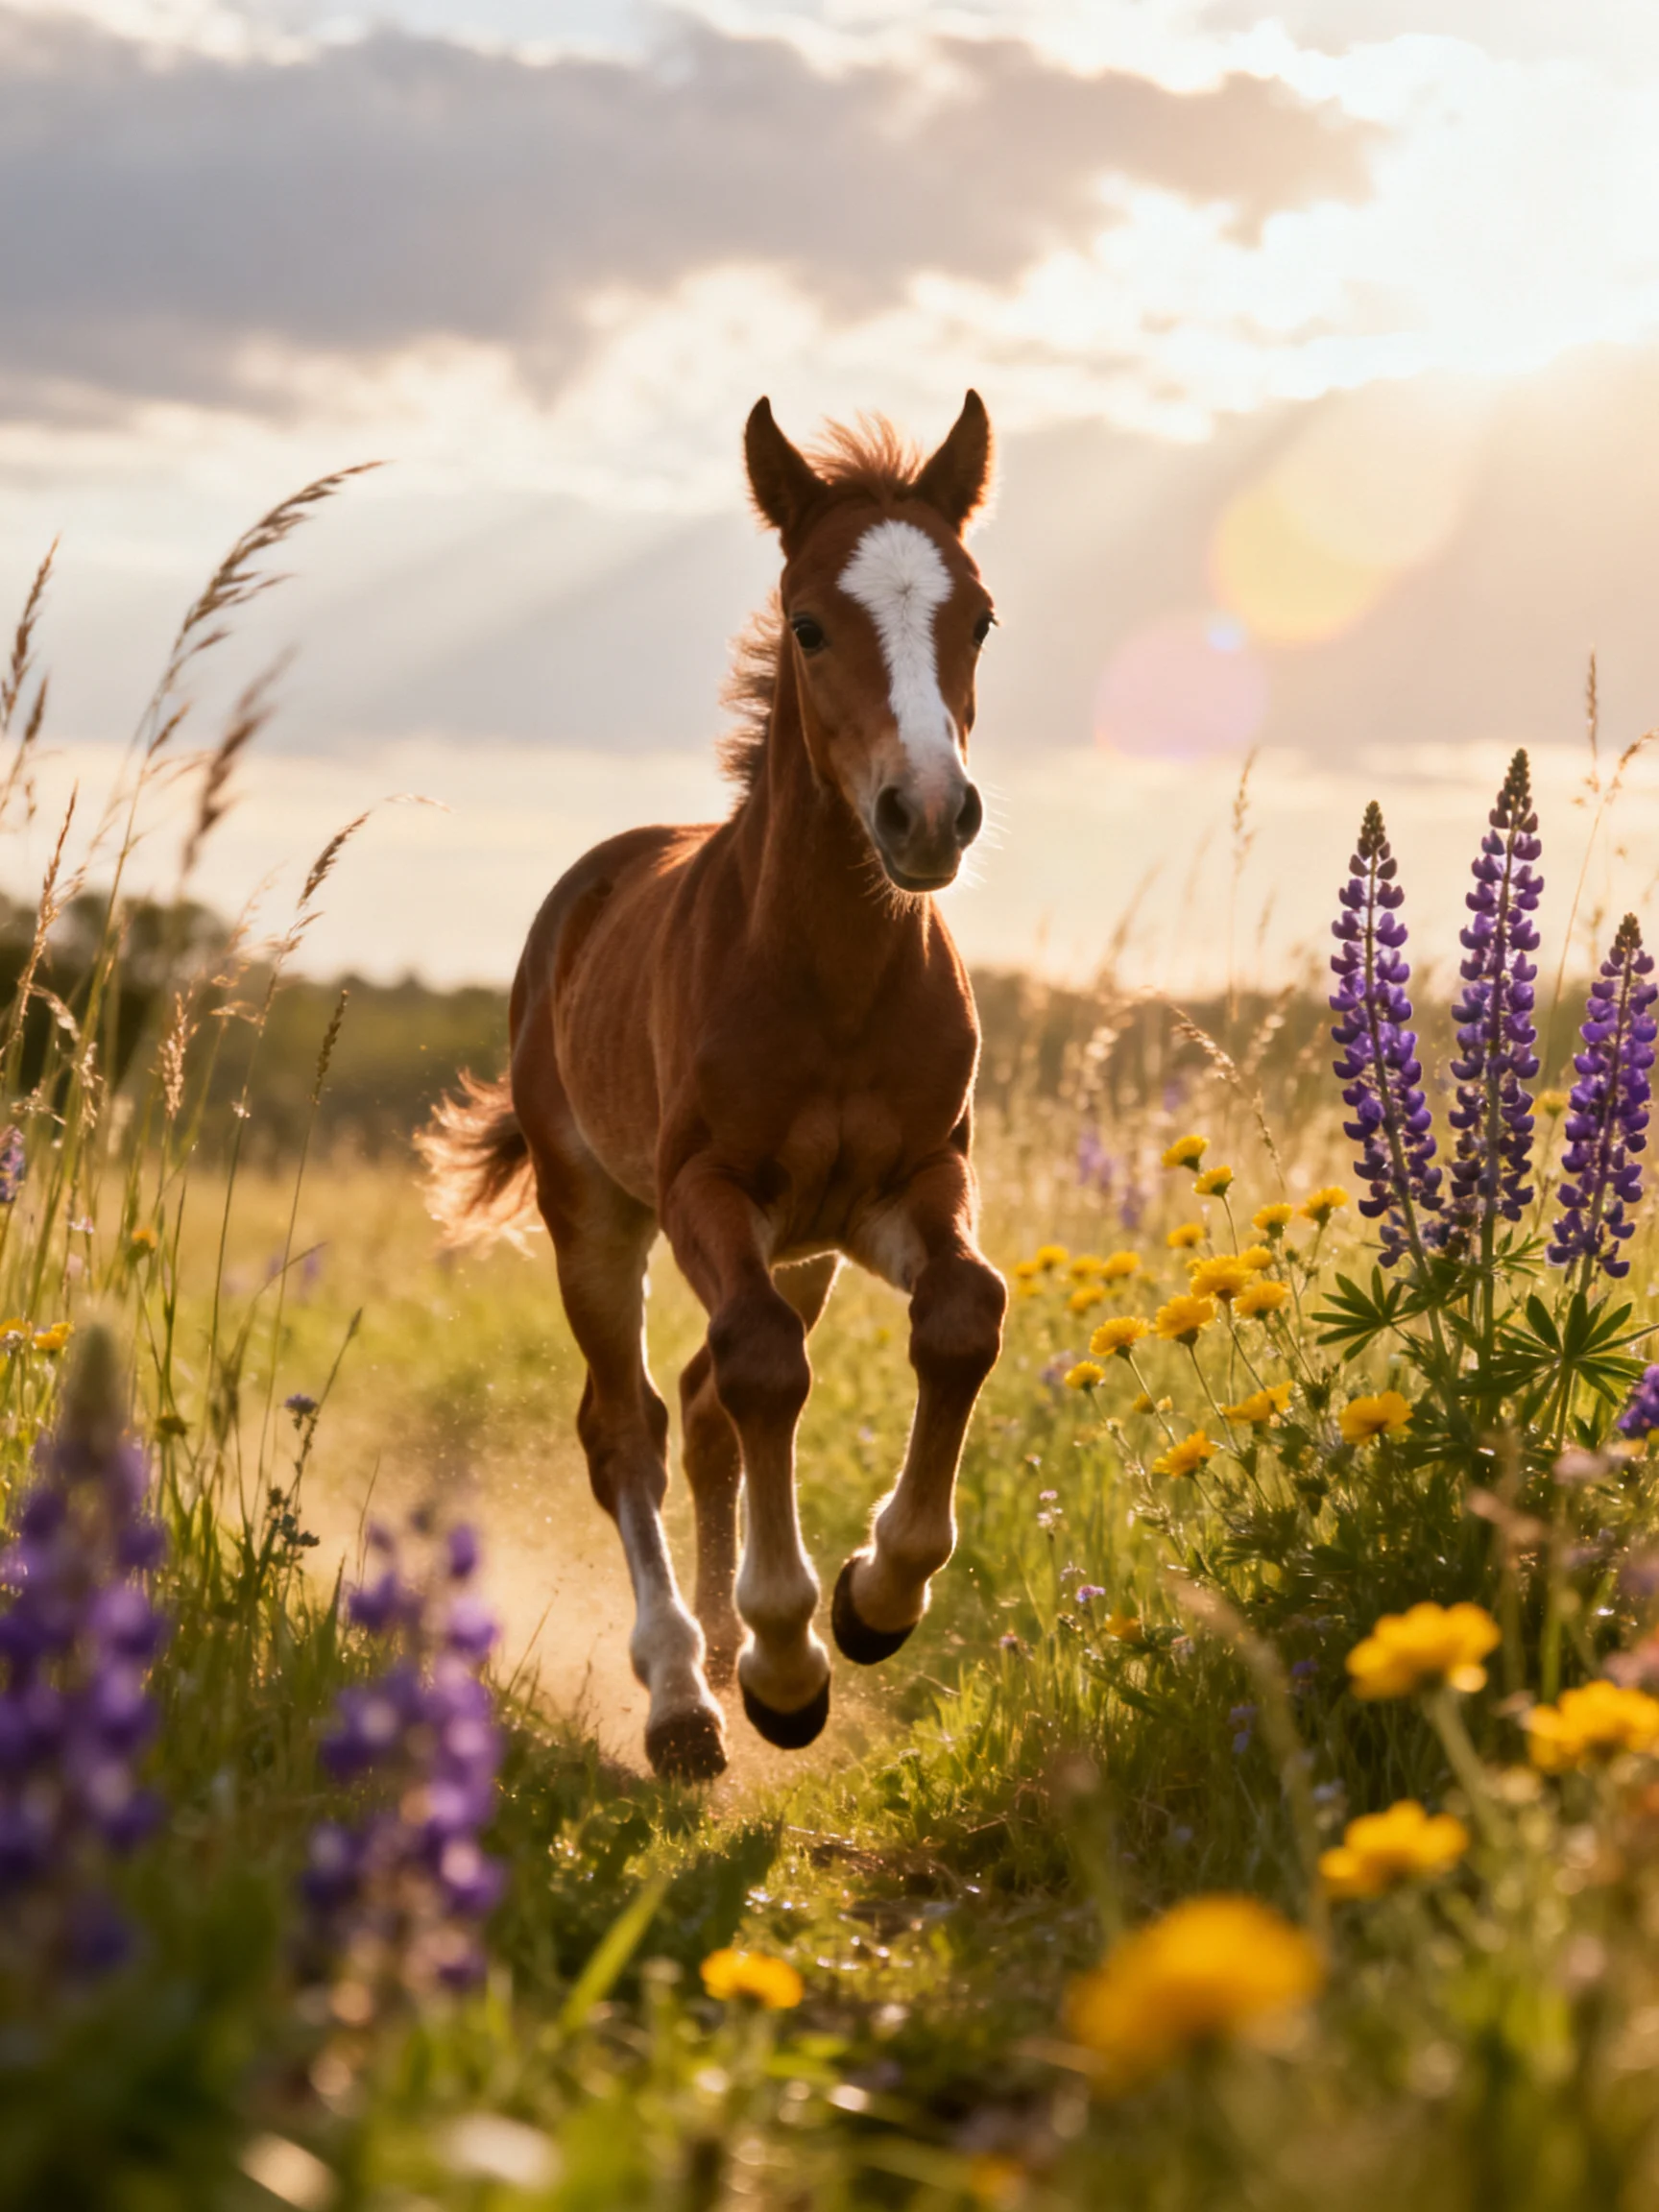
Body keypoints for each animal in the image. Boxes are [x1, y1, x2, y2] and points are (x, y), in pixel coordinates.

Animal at [421, 393, 1008, 1780]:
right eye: (809, 623)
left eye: (978, 617)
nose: (928, 814)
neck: (833, 977)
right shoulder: (707, 1189)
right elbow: (759, 1368)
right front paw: (788, 1659)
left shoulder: (908, 1183)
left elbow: (961, 1314)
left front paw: (873, 1600)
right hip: (597, 1217)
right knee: (626, 1422)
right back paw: (684, 1694)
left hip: (805, 1245)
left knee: (691, 1405)